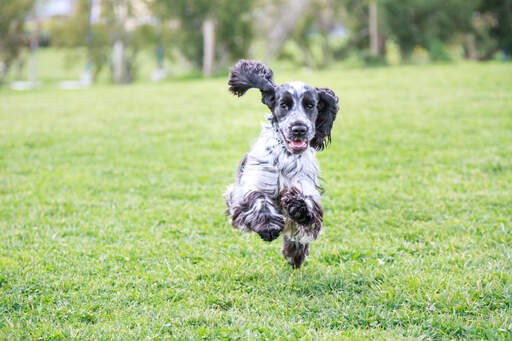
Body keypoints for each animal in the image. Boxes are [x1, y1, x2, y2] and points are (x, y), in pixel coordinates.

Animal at [225, 60, 340, 268]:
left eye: (310, 105)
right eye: (284, 105)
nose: (299, 129)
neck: (286, 155)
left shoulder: (304, 182)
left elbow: (309, 206)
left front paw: (298, 207)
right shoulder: (253, 183)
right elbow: (258, 200)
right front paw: (268, 226)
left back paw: (294, 254)